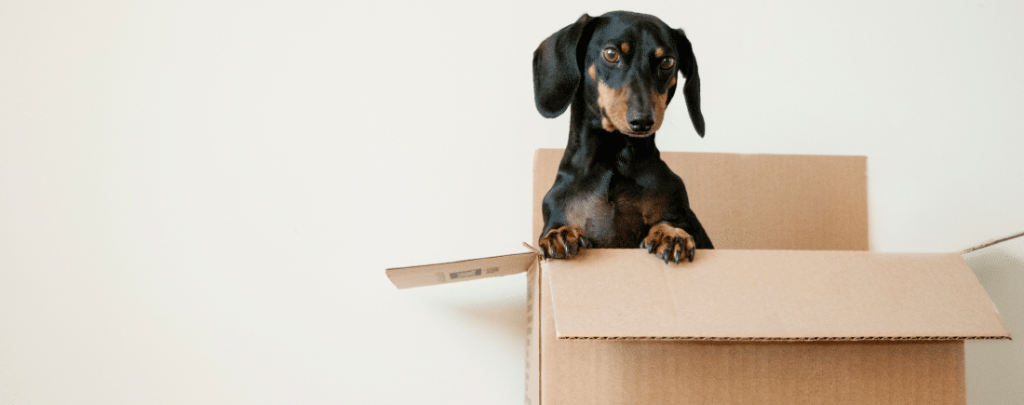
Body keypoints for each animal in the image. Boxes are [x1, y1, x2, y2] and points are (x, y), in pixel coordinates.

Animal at [532, 11, 716, 263]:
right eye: (611, 54)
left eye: (667, 62)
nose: (643, 121)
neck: (614, 160)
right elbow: (557, 228)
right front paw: (560, 234)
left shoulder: (682, 214)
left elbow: (672, 223)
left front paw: (670, 234)